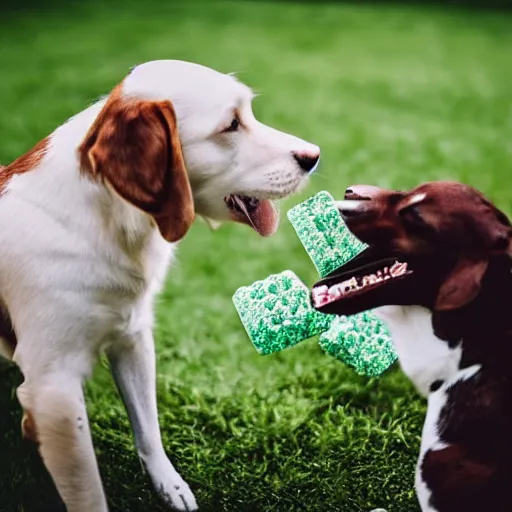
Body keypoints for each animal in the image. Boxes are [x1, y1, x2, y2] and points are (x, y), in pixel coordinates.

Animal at [0, 61, 320, 512]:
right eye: (231, 124)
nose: (314, 156)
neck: (105, 218)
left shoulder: (132, 335)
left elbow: (148, 427)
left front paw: (170, 485)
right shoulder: (55, 389)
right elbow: (88, 491)